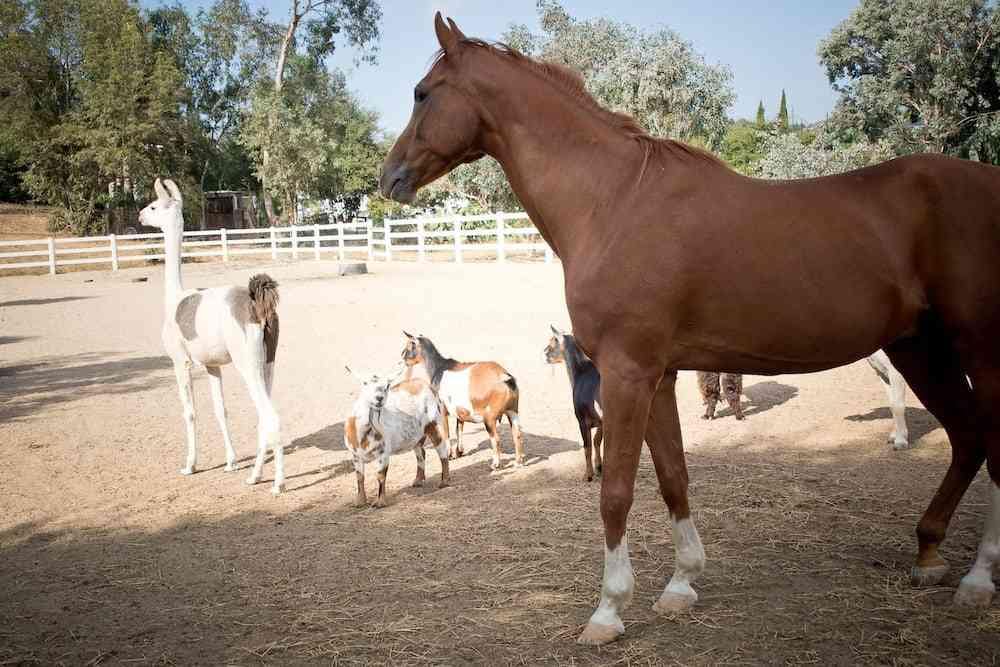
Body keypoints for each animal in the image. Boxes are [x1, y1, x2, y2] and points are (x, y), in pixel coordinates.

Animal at [381, 13, 1000, 645]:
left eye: (422, 93)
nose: (390, 176)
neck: (612, 202)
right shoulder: (660, 377)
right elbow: (673, 477)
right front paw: (681, 585)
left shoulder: (628, 375)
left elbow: (616, 492)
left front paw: (609, 610)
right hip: (919, 350)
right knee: (969, 439)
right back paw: (929, 554)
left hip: (981, 352)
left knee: (992, 447)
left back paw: (978, 580)